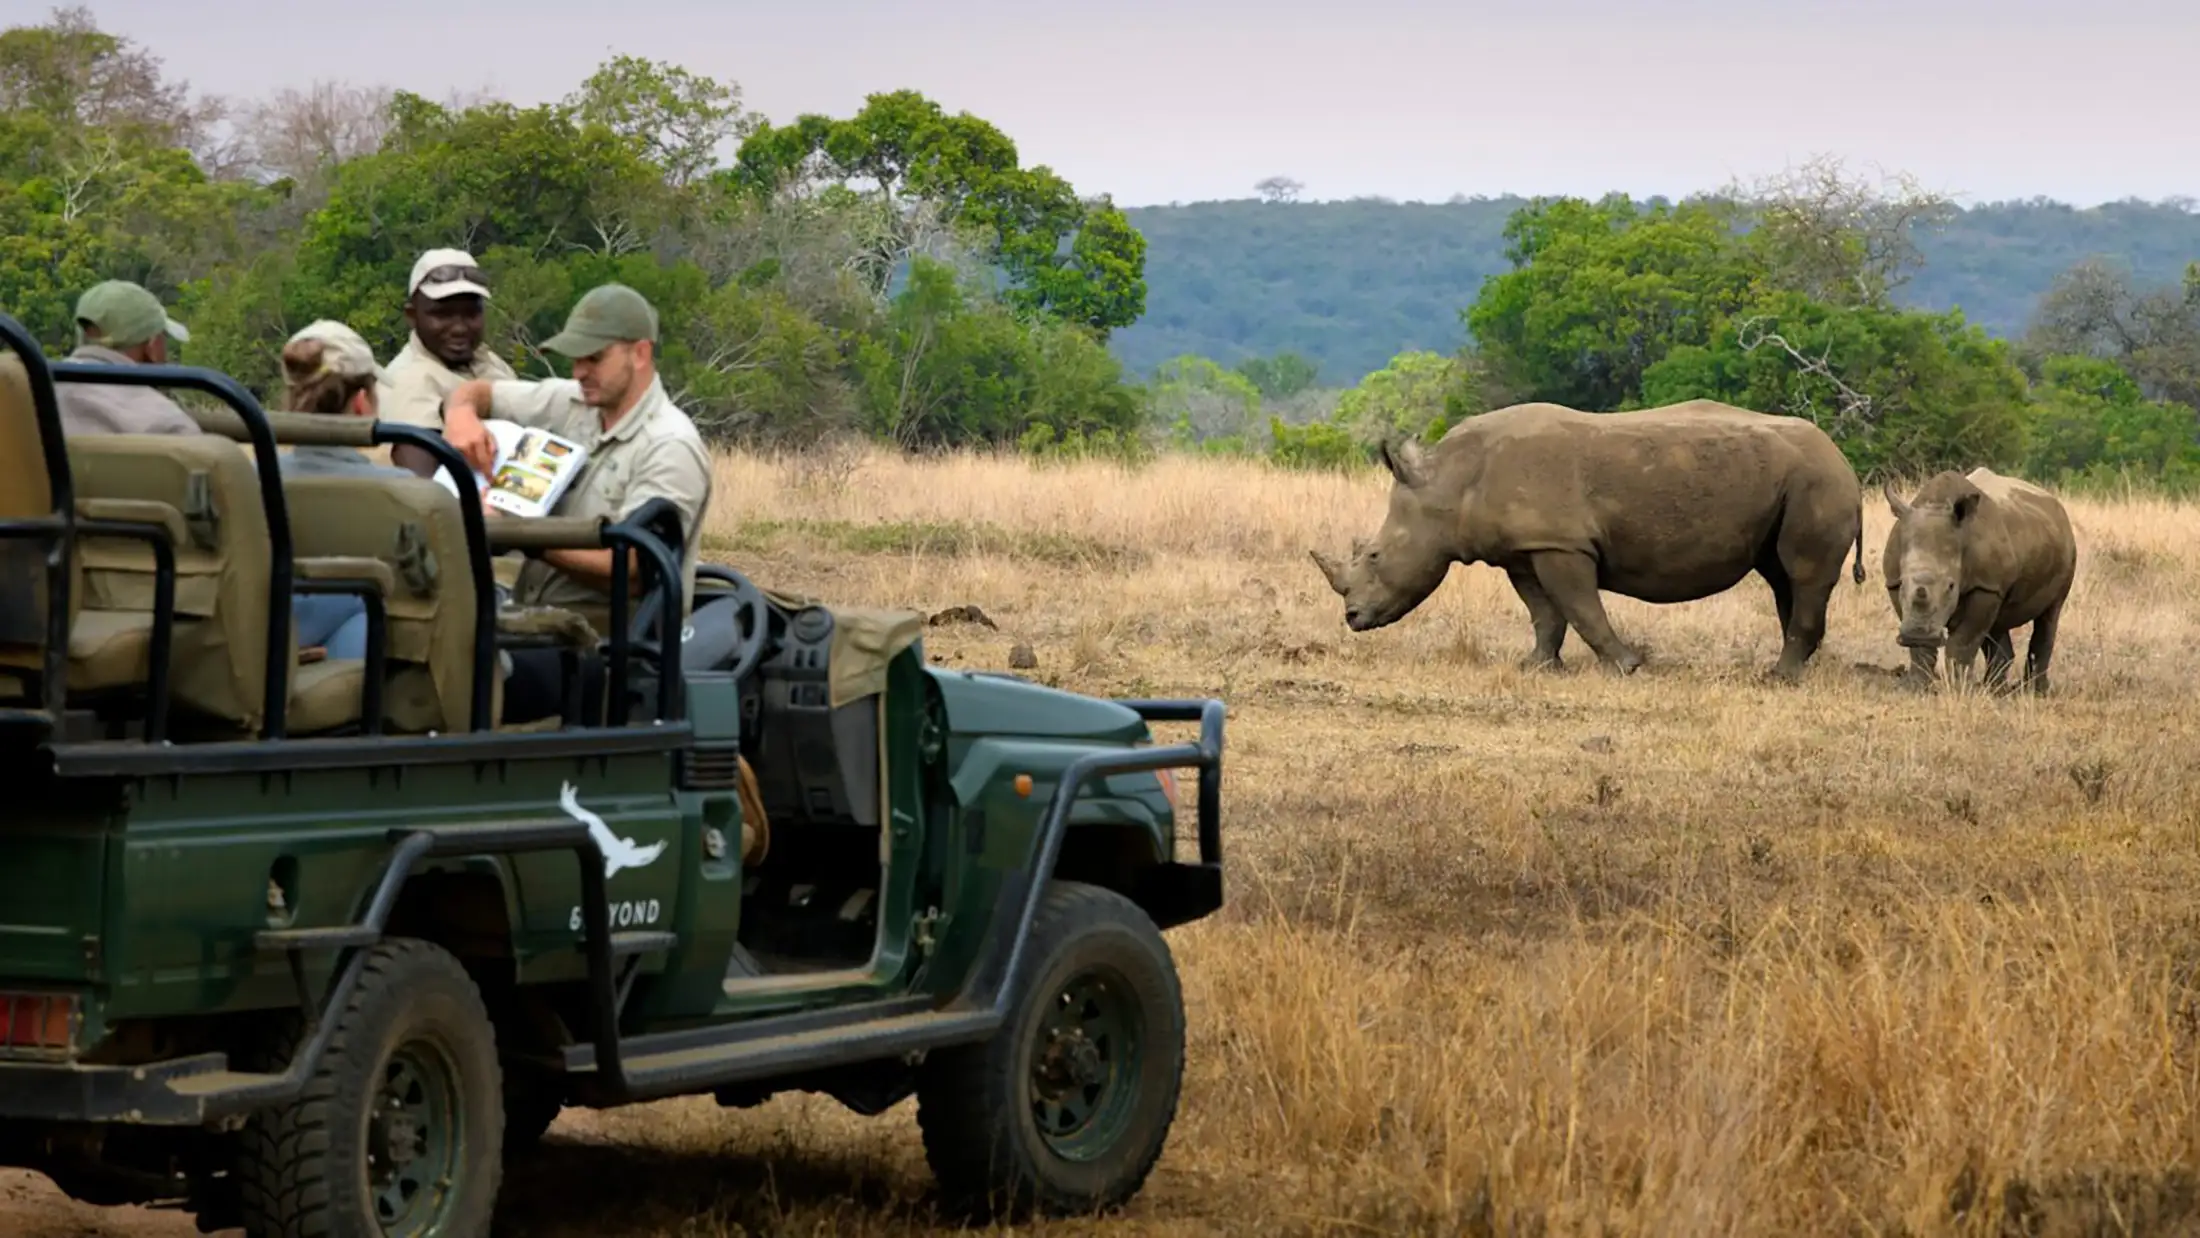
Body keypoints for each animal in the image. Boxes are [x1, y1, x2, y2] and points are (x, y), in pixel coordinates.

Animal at [1309, 399, 1866, 680]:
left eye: (1374, 554)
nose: (1352, 618)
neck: (1449, 481)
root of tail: (1847, 463)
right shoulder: (1526, 548)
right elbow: (1545, 612)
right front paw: (1536, 667)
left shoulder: (1561, 543)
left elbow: (1580, 607)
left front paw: (1626, 667)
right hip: (1796, 481)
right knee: (1781, 575)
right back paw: (1798, 667)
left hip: (1817, 481)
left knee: (1802, 573)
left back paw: (1778, 677)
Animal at [1881, 467, 2076, 694]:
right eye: (1903, 582)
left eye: (1951, 586)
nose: (1917, 634)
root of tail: (2058, 507)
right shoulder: (1893, 582)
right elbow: (1921, 645)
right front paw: (1917, 686)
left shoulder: (1984, 587)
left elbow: (1964, 641)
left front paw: (1959, 689)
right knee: (1998, 624)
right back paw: (1995, 690)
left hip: (2067, 551)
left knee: (2050, 614)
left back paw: (2035, 692)